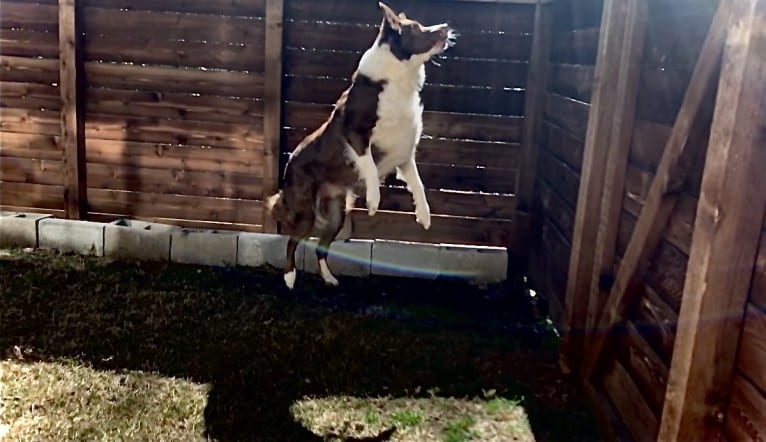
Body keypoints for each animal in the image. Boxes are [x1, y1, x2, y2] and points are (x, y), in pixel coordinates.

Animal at [268, 2, 456, 290]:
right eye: (416, 28)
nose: (445, 26)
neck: (399, 75)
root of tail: (289, 164)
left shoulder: (404, 152)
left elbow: (418, 185)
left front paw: (424, 215)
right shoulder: (355, 134)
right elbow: (369, 166)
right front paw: (373, 201)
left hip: (336, 214)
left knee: (321, 247)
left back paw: (329, 278)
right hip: (306, 211)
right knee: (292, 242)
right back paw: (290, 279)